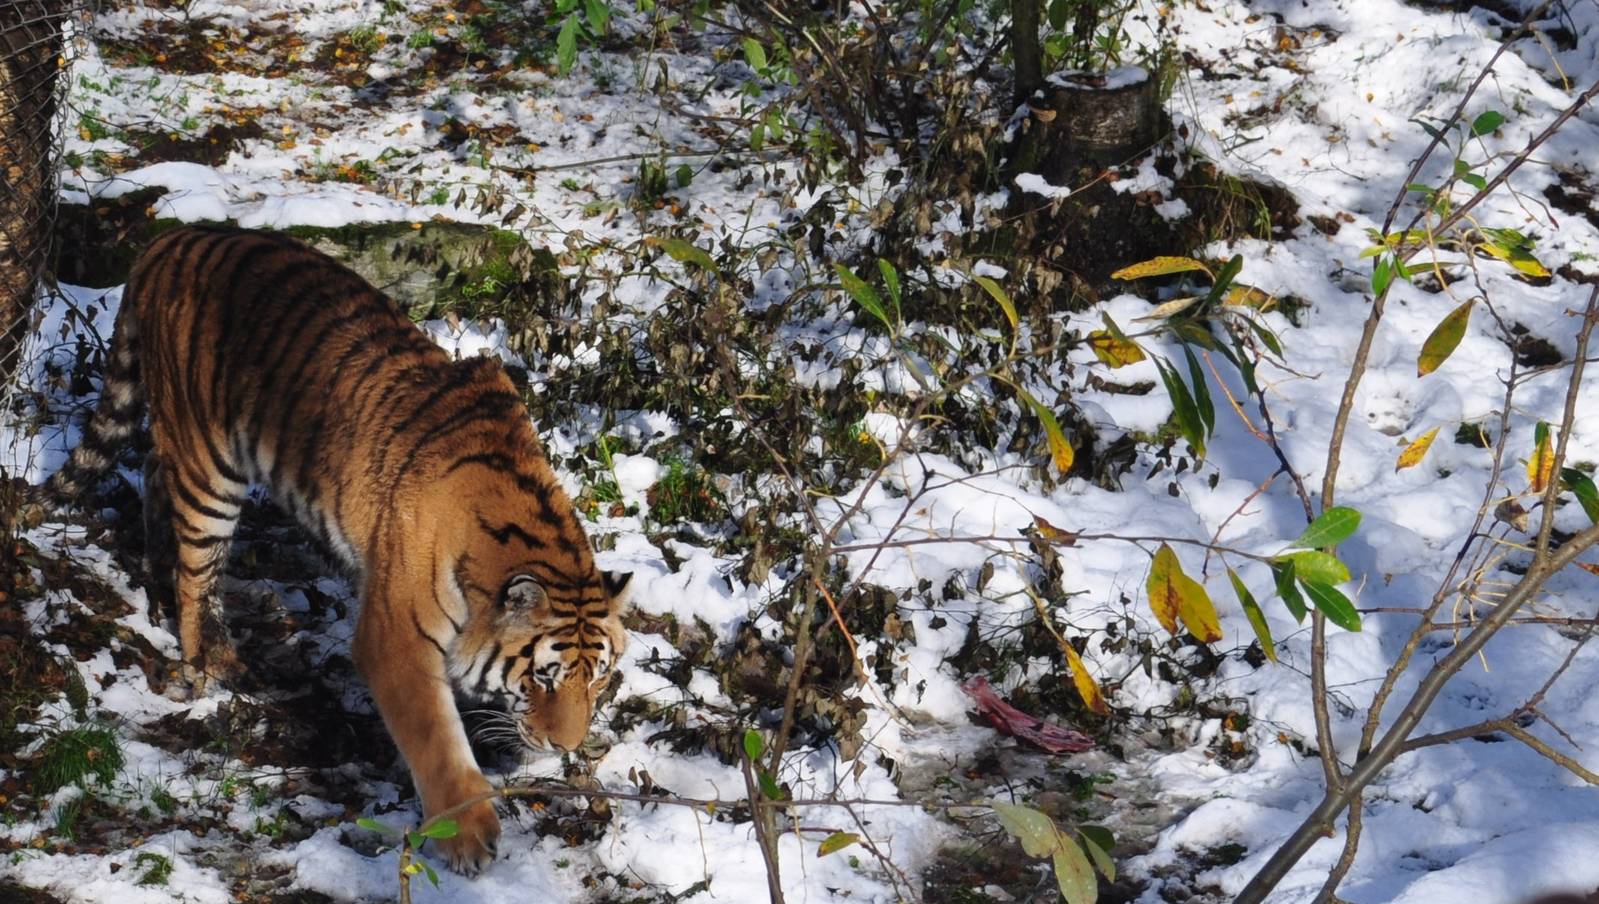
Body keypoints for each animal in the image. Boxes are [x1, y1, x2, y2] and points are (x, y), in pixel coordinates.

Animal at [44, 224, 631, 874]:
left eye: (598, 679)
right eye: (545, 678)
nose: (564, 746)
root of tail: (173, 236)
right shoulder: (395, 636)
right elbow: (435, 737)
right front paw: (468, 834)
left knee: (152, 469)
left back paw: (155, 573)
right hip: (209, 465)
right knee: (197, 569)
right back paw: (212, 662)